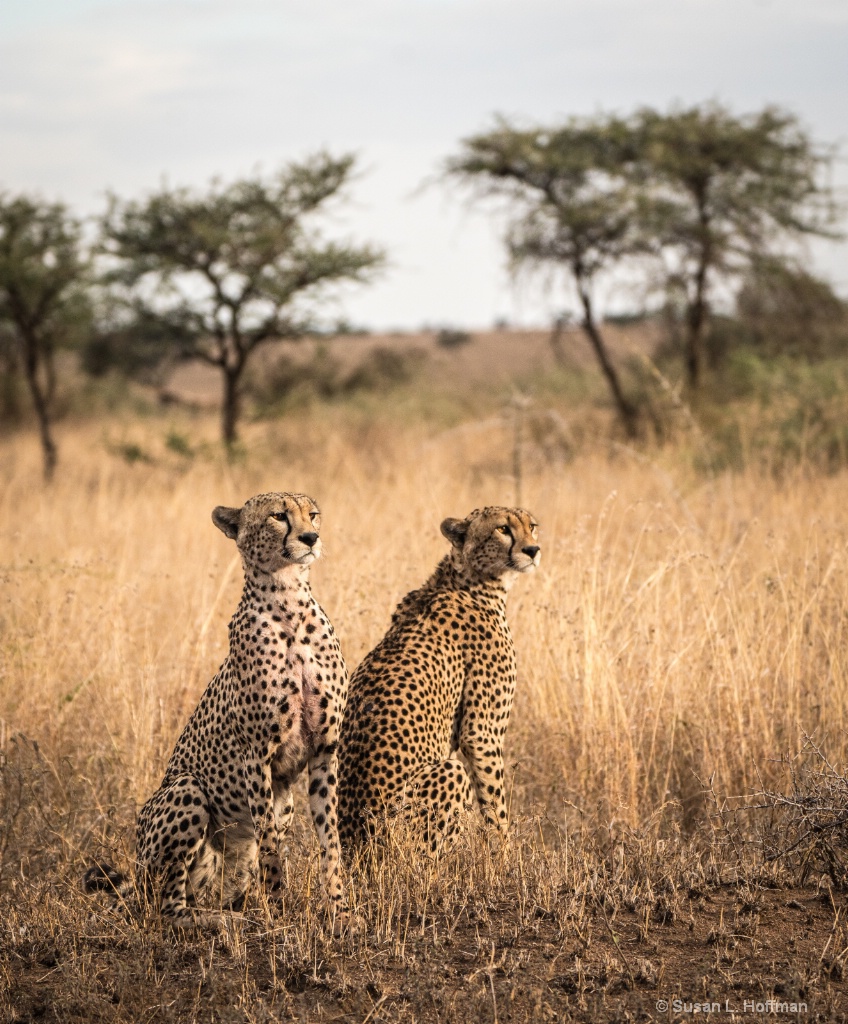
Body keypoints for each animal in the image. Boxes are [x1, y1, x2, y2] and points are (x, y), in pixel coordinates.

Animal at [85, 491, 348, 933]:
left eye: (312, 514)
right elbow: (270, 844)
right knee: (168, 906)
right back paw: (221, 920)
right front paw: (280, 915)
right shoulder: (256, 754)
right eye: (279, 516)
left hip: (268, 816)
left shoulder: (324, 749)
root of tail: (137, 874)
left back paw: (235, 911)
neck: (289, 602)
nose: (311, 538)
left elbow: (331, 841)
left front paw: (342, 913)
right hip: (186, 790)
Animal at [335, 505, 540, 856]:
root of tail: (357, 850)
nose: (533, 550)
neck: (468, 580)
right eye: (503, 529)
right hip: (442, 778)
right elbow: (495, 806)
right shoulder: (481, 735)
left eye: (532, 526)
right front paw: (506, 859)